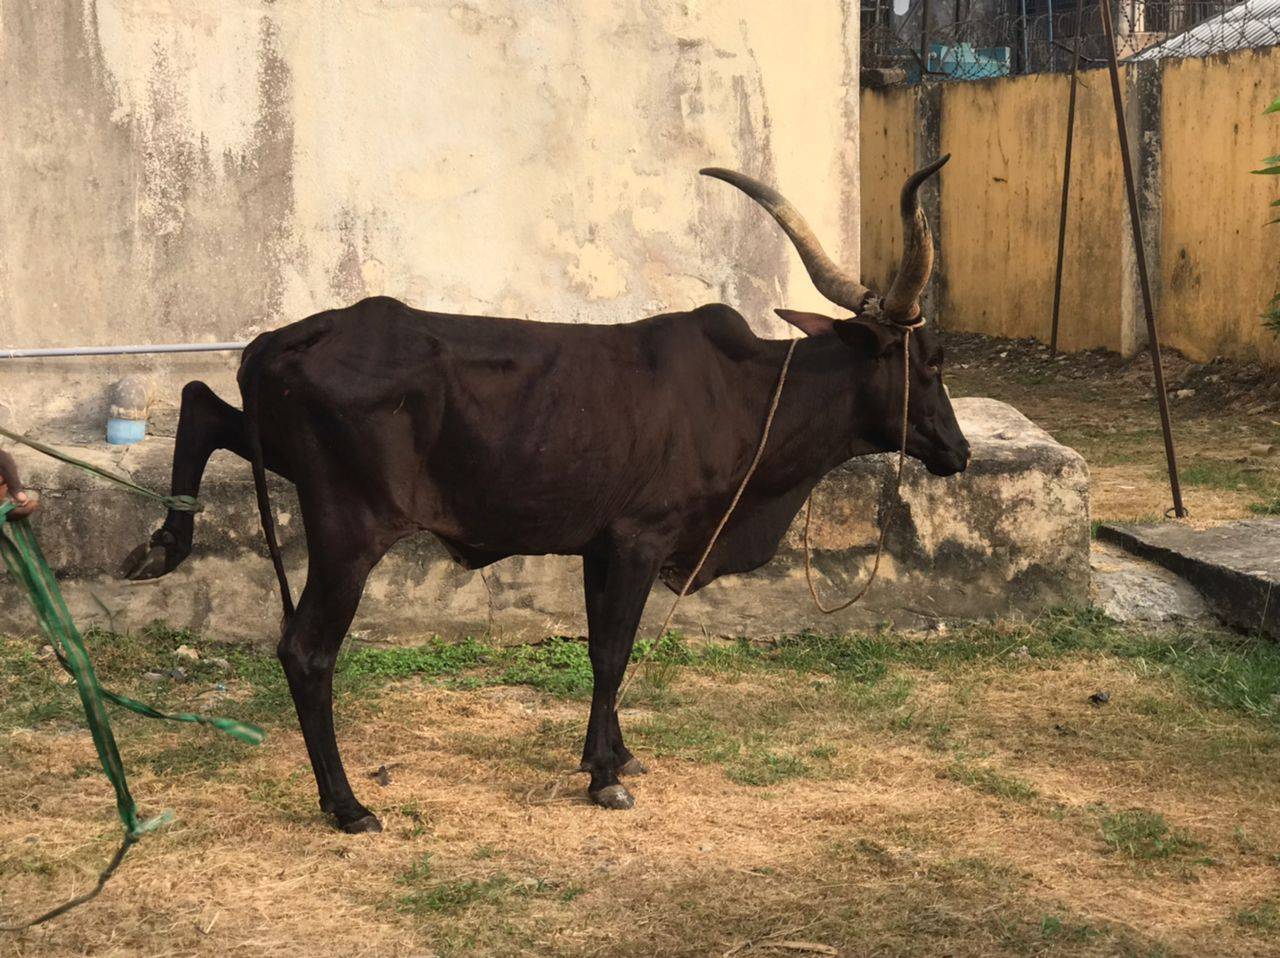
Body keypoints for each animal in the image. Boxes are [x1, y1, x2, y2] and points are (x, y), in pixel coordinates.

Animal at [120, 158, 962, 829]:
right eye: (929, 361)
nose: (957, 450)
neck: (747, 395)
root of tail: (287, 339)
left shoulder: (598, 547)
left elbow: (597, 648)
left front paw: (615, 754)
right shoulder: (639, 538)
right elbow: (614, 652)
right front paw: (603, 776)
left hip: (286, 456)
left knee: (200, 403)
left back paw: (161, 545)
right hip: (348, 529)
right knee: (305, 651)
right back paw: (347, 804)